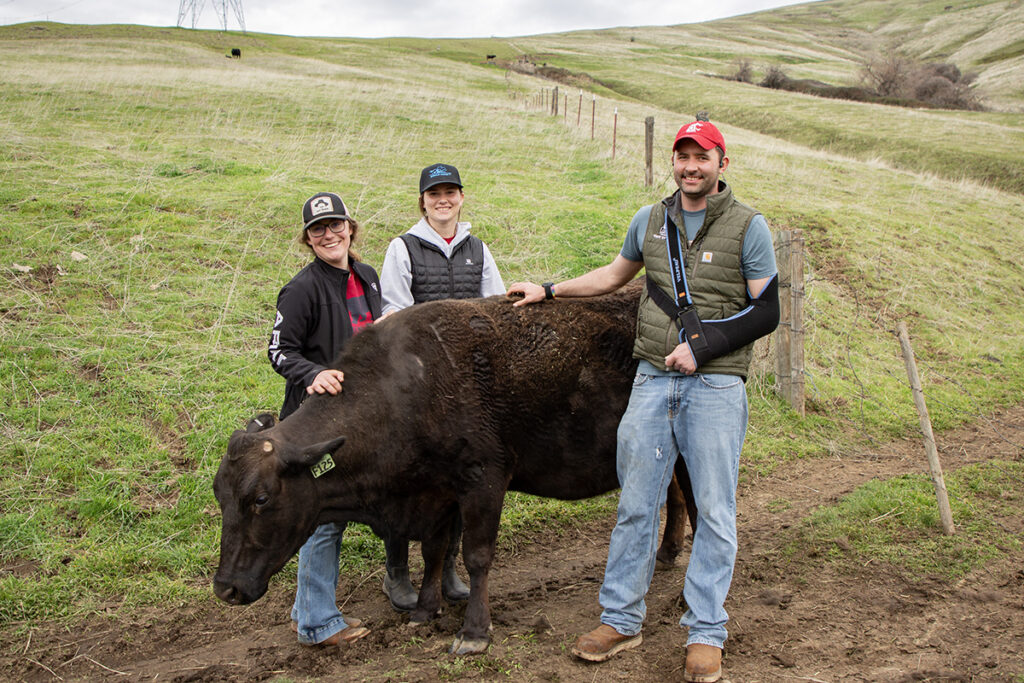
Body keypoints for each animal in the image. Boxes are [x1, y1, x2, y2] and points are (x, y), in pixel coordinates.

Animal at [213, 278, 695, 655]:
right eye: (221, 497)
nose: (225, 588)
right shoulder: (438, 491)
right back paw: (666, 553)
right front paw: (425, 611)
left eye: (261, 498)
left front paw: (474, 631)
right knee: (673, 494)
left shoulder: (483, 478)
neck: (406, 389)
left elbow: (476, 555)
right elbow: (434, 551)